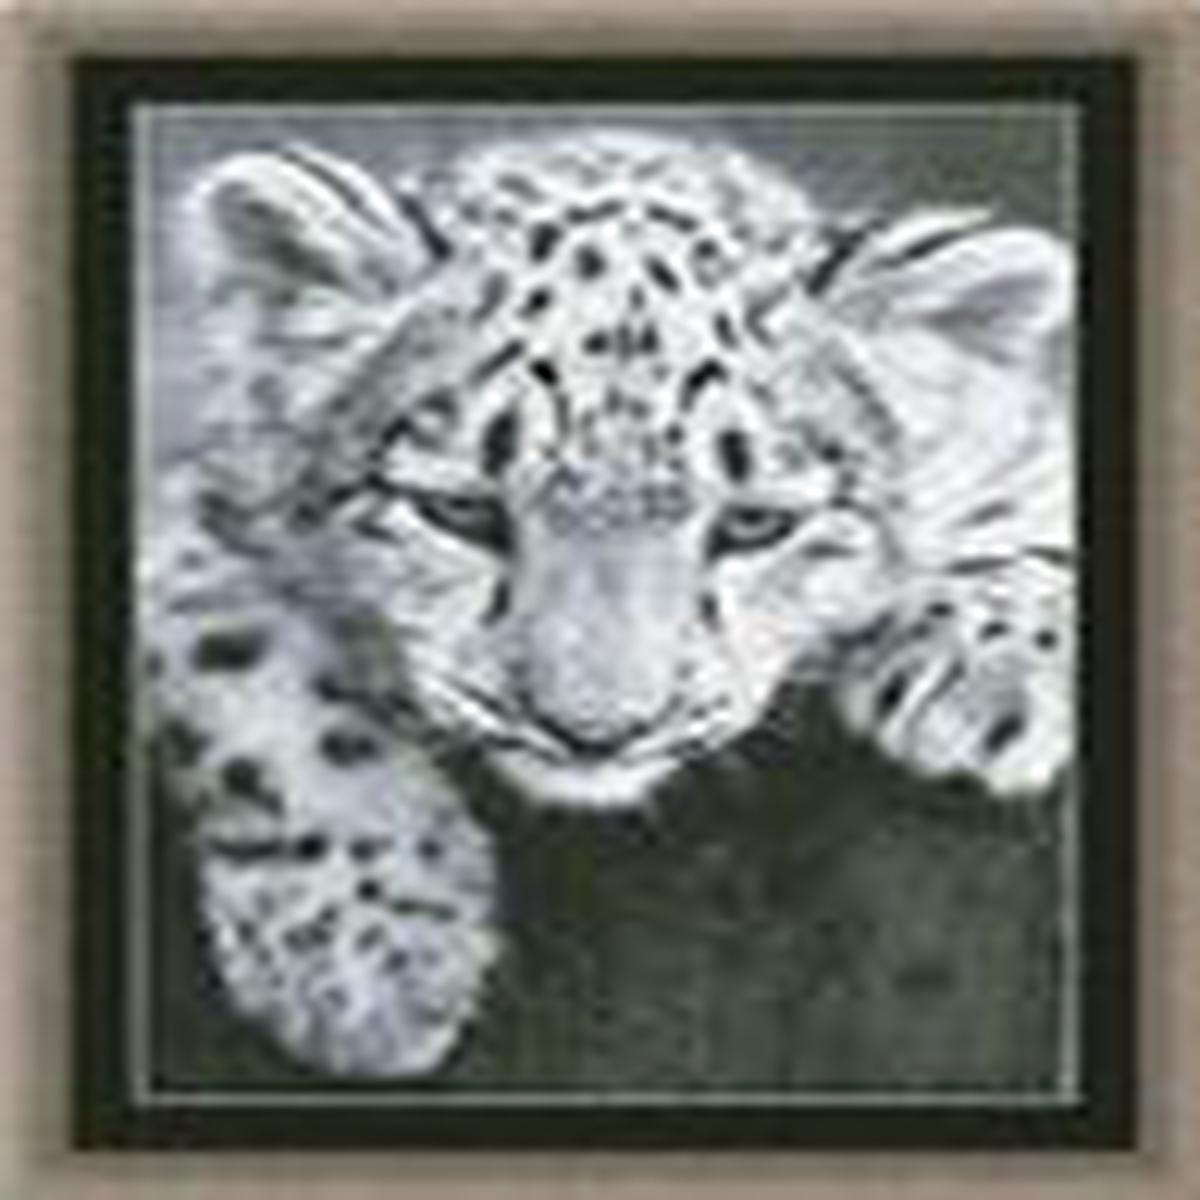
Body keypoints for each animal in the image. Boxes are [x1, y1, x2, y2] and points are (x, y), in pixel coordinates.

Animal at [140, 129, 1076, 1080]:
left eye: (756, 523)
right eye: (460, 511)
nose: (595, 731)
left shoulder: (1018, 438)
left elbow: (1039, 501)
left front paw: (990, 680)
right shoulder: (186, 529)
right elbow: (244, 667)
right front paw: (373, 957)